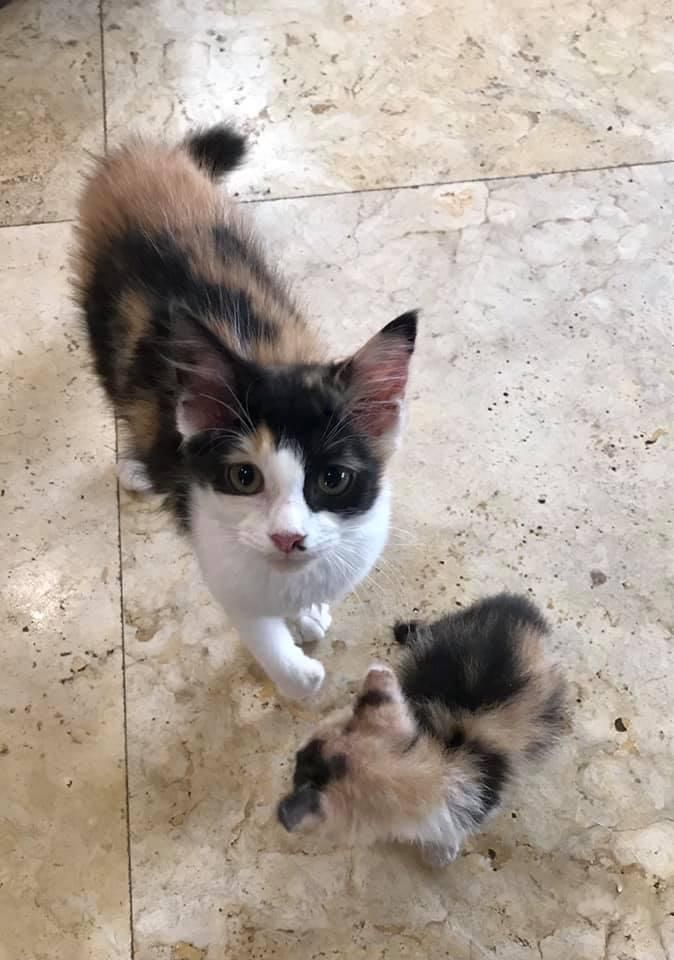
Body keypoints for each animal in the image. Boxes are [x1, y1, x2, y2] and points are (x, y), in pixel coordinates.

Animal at [73, 125, 418, 696]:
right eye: (243, 477)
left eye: (333, 479)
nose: (287, 537)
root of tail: (142, 156)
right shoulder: (215, 547)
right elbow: (262, 633)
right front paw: (299, 671)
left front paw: (309, 611)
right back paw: (135, 466)